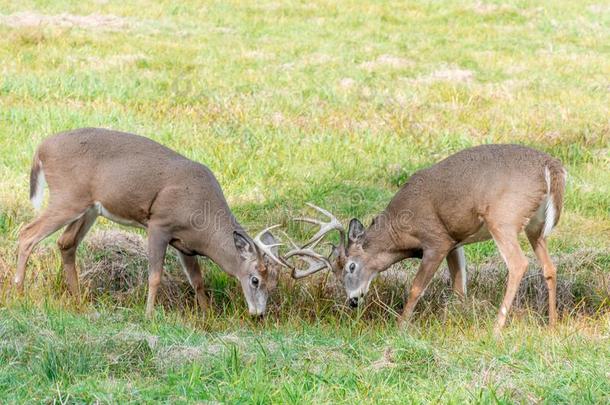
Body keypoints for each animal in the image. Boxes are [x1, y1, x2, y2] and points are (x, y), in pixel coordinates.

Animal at [14, 128, 290, 318]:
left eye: (274, 283)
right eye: (255, 280)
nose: (259, 314)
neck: (203, 217)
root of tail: (41, 149)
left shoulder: (185, 244)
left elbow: (198, 281)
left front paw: (207, 314)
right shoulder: (160, 224)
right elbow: (155, 276)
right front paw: (148, 315)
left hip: (89, 208)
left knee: (65, 243)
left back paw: (79, 301)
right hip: (68, 197)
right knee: (27, 233)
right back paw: (19, 293)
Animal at [284, 144, 564, 332]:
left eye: (352, 266)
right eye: (336, 274)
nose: (353, 301)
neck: (400, 232)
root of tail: (550, 166)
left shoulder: (437, 240)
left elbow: (416, 287)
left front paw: (399, 327)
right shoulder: (454, 242)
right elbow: (459, 287)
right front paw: (456, 320)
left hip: (502, 219)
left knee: (518, 264)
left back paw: (497, 328)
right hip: (535, 227)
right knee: (549, 267)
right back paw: (551, 325)